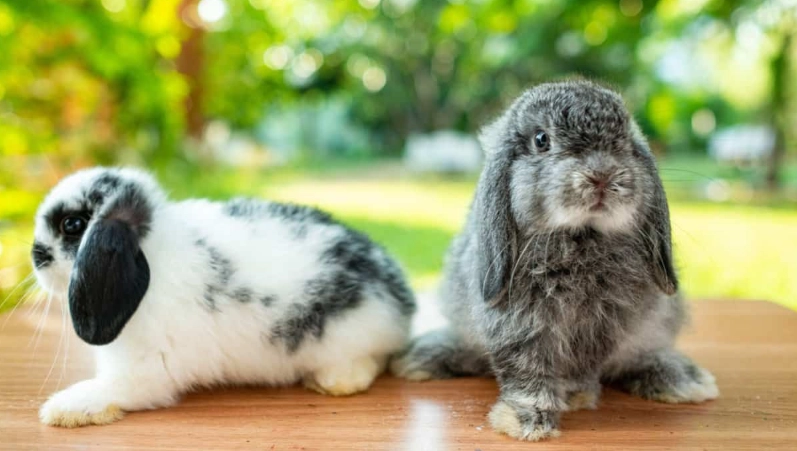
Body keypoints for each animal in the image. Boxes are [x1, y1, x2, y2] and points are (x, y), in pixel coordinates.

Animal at [31, 167, 415, 428]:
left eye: (72, 225)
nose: (36, 256)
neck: (153, 250)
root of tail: (402, 298)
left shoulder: (148, 372)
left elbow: (111, 389)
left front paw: (61, 408)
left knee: (369, 364)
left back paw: (331, 382)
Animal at [391, 80, 718, 441]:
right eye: (541, 139)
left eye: (625, 142)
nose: (602, 176)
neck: (580, 237)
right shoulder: (517, 325)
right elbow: (526, 370)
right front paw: (527, 422)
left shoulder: (604, 326)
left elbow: (583, 367)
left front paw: (575, 396)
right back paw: (422, 360)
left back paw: (683, 381)